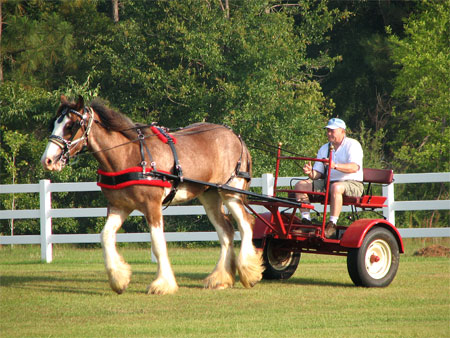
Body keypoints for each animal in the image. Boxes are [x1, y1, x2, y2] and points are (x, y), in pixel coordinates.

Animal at [41, 94, 264, 294]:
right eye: (54, 123)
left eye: (71, 126)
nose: (47, 160)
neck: (128, 155)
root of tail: (235, 136)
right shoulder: (119, 206)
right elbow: (105, 236)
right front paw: (119, 279)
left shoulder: (152, 205)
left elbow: (157, 243)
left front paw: (162, 284)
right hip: (209, 195)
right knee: (226, 230)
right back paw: (220, 278)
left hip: (230, 192)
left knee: (246, 224)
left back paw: (248, 272)